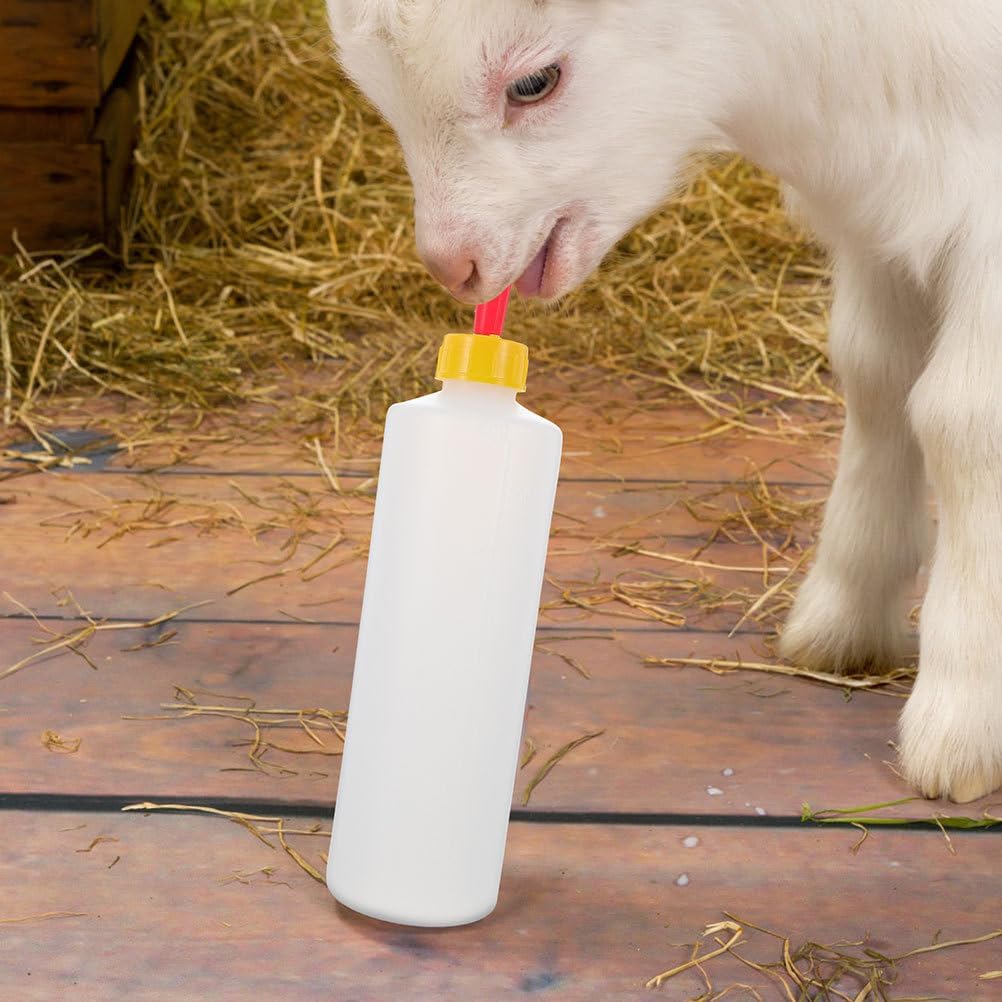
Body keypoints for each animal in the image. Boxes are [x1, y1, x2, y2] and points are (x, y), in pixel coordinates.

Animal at [327, 0, 1002, 803]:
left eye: (535, 82)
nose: (455, 265)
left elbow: (965, 421)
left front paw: (963, 722)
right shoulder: (887, 206)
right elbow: (877, 375)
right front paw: (845, 619)